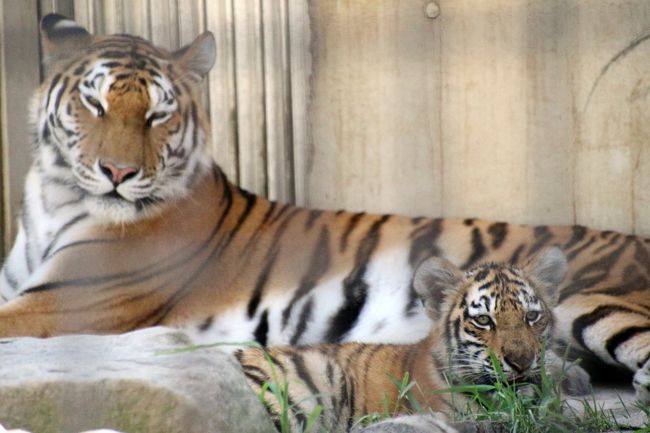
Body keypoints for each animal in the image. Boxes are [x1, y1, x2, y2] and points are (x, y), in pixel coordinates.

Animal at [1, 12, 648, 398]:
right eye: (94, 104)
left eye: (159, 113)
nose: (118, 174)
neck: (52, 198)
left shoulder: (63, 304)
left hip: (595, 300)